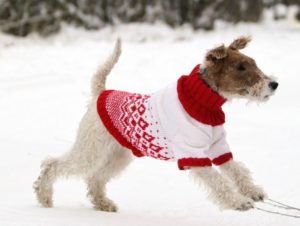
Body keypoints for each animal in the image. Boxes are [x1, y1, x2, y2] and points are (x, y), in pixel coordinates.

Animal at [33, 36, 278, 212]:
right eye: (241, 67)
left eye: (253, 63)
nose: (274, 84)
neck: (202, 102)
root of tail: (100, 94)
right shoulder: (193, 155)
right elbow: (219, 182)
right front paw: (239, 202)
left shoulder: (218, 148)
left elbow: (238, 171)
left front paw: (253, 191)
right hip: (90, 151)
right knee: (52, 165)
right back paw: (44, 197)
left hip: (118, 156)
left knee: (95, 179)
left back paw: (104, 204)